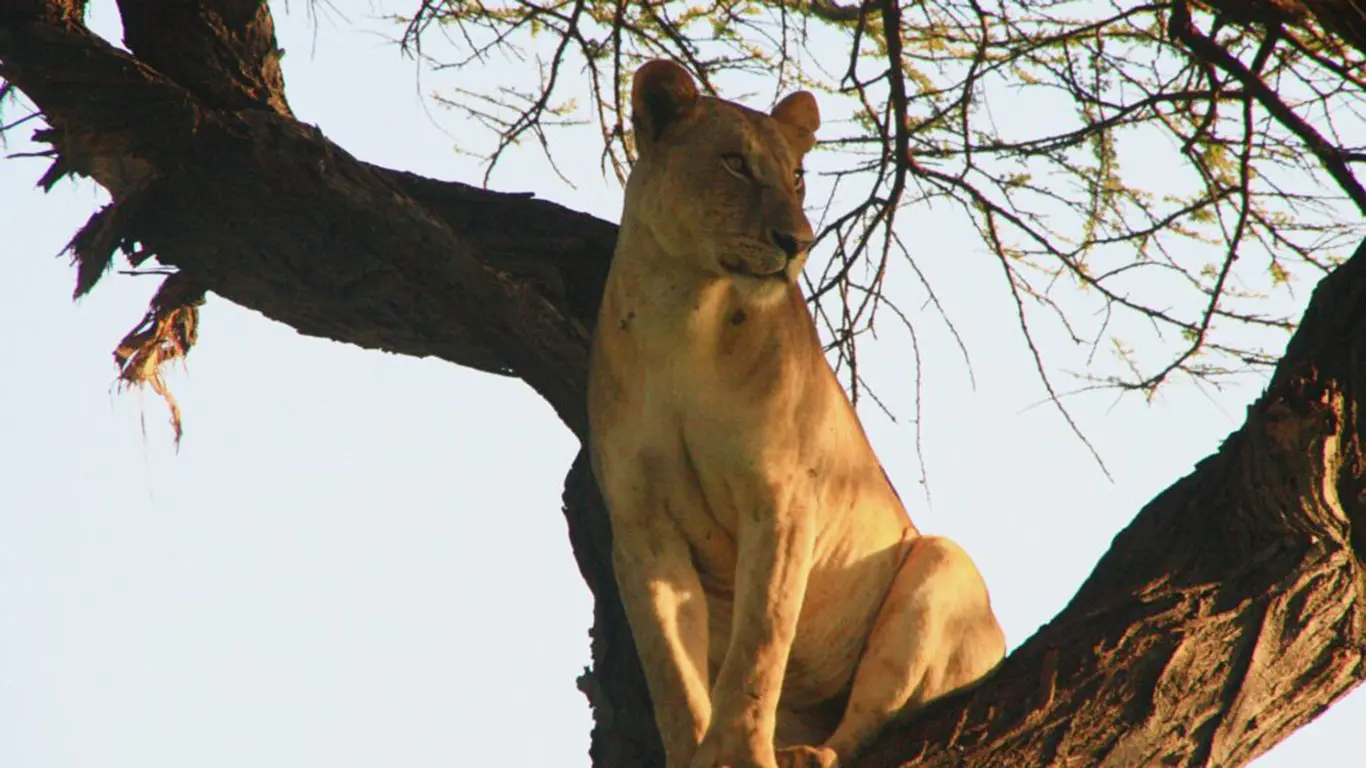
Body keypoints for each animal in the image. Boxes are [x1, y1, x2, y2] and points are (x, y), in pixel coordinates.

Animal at [587, 60, 1006, 768]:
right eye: (734, 164)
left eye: (798, 177)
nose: (798, 242)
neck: (684, 317)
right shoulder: (641, 526)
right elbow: (670, 667)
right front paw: (695, 750)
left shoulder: (782, 501)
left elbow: (759, 645)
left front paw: (740, 752)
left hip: (943, 565)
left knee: (873, 714)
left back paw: (812, 753)